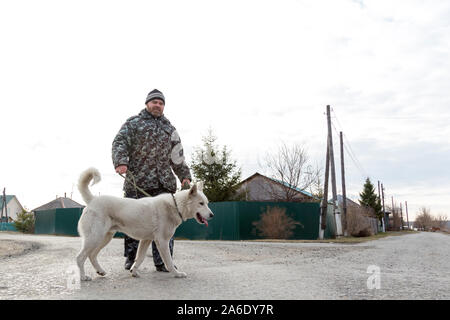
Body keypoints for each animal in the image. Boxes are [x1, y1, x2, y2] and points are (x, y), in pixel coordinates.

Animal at [76, 168, 214, 280]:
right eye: (201, 203)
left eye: (207, 203)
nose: (212, 215)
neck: (175, 206)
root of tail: (93, 199)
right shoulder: (162, 241)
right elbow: (169, 261)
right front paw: (177, 274)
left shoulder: (146, 240)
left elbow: (140, 258)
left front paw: (134, 272)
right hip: (95, 238)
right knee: (80, 257)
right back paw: (83, 277)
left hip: (104, 238)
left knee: (92, 255)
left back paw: (100, 271)